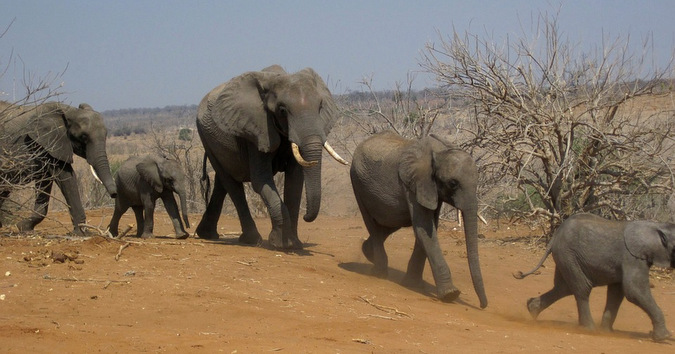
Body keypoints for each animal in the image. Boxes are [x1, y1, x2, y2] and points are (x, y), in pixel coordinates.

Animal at [0, 99, 117, 234]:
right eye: (83, 137)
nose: (114, 195)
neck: (70, 111)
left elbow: (46, 181)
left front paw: (25, 227)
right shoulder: (49, 143)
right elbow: (66, 177)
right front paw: (82, 233)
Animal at [193, 65, 346, 249]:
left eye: (320, 107)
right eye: (282, 110)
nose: (306, 217)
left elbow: (295, 182)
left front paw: (294, 244)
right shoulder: (256, 131)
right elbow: (261, 180)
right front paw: (279, 243)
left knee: (222, 182)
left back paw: (207, 234)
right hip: (205, 136)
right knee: (231, 184)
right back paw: (252, 240)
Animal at [352, 131, 488, 308]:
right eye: (453, 183)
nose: (483, 305)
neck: (440, 151)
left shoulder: (430, 188)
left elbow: (428, 228)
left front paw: (412, 285)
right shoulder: (413, 184)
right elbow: (424, 229)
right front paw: (450, 294)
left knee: (390, 222)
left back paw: (368, 254)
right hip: (357, 182)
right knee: (373, 224)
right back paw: (379, 273)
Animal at [516, 212, 672, 342]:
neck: (657, 226)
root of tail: (555, 235)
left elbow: (617, 292)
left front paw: (607, 332)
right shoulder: (633, 257)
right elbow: (633, 290)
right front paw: (664, 337)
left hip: (565, 256)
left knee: (564, 288)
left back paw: (532, 309)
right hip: (569, 255)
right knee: (582, 288)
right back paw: (589, 329)